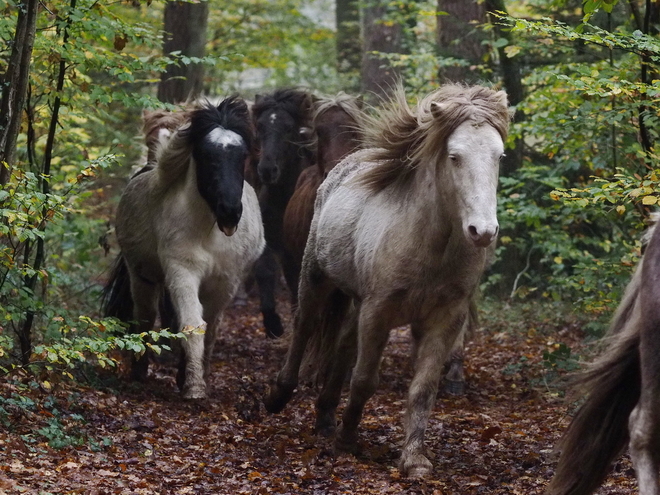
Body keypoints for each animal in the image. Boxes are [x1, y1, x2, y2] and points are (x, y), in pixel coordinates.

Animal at [104, 97, 264, 400]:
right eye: (205, 154)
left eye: (242, 156)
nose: (230, 213)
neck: (208, 231)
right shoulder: (182, 271)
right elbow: (192, 324)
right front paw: (193, 386)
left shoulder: (225, 281)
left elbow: (210, 328)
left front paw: (197, 377)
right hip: (142, 277)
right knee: (145, 316)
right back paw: (140, 372)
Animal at [251, 87, 316, 340]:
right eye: (260, 126)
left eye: (289, 128)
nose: (268, 170)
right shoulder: (271, 243)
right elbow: (264, 270)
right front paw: (273, 323)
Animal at [264, 84, 510, 476]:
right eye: (454, 157)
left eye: (499, 155)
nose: (482, 231)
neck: (429, 244)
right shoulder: (378, 310)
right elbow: (365, 380)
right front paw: (348, 441)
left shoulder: (445, 317)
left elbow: (423, 389)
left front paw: (414, 458)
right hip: (315, 277)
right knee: (304, 327)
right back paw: (280, 395)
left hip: (357, 301)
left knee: (343, 344)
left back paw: (325, 415)